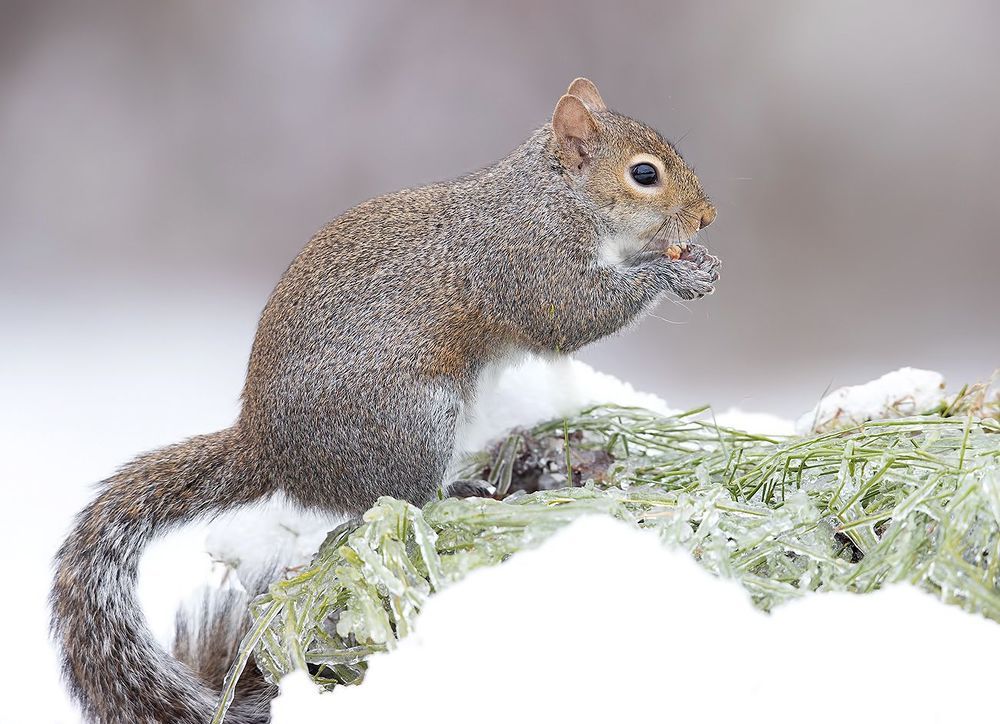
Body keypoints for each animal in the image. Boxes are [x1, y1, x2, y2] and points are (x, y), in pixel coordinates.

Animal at [51, 77, 720, 723]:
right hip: (416, 421)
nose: (708, 217)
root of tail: (269, 452)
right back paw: (458, 493)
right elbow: (574, 317)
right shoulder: (528, 263)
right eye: (644, 174)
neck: (555, 195)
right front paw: (674, 273)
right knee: (398, 501)